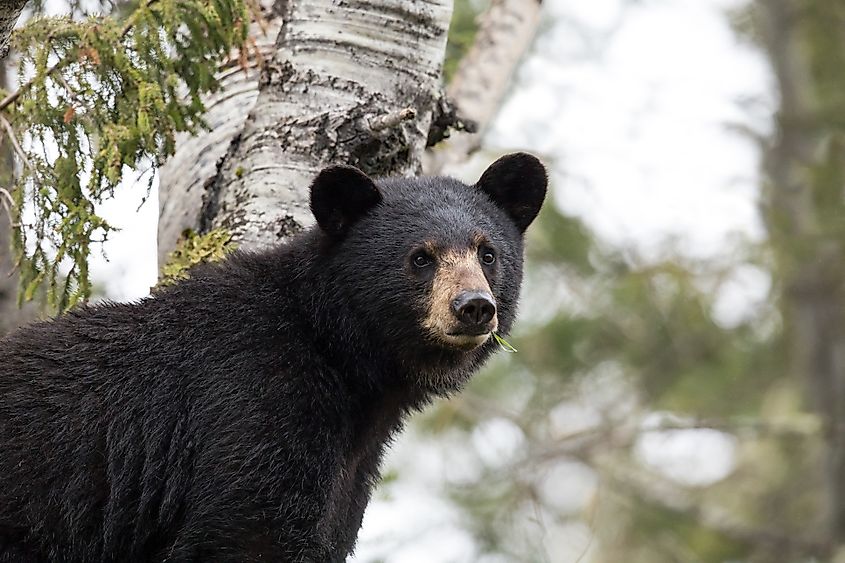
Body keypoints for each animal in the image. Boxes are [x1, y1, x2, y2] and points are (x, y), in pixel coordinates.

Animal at [0, 152, 547, 562]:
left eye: (488, 253)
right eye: (420, 257)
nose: (474, 306)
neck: (338, 352)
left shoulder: (350, 468)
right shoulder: (257, 397)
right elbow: (248, 529)